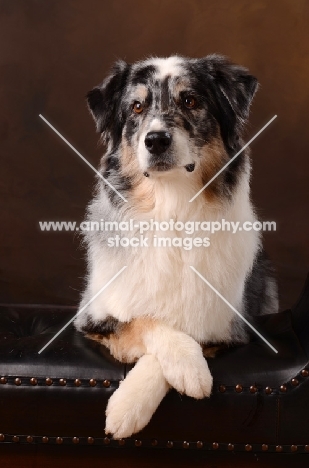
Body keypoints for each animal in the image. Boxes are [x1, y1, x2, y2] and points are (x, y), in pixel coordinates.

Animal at [74, 54, 276, 438]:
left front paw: (182, 375)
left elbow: (185, 331)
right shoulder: (92, 316)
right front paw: (132, 402)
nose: (156, 140)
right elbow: (144, 320)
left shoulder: (229, 326)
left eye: (191, 101)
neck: (172, 207)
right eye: (136, 107)